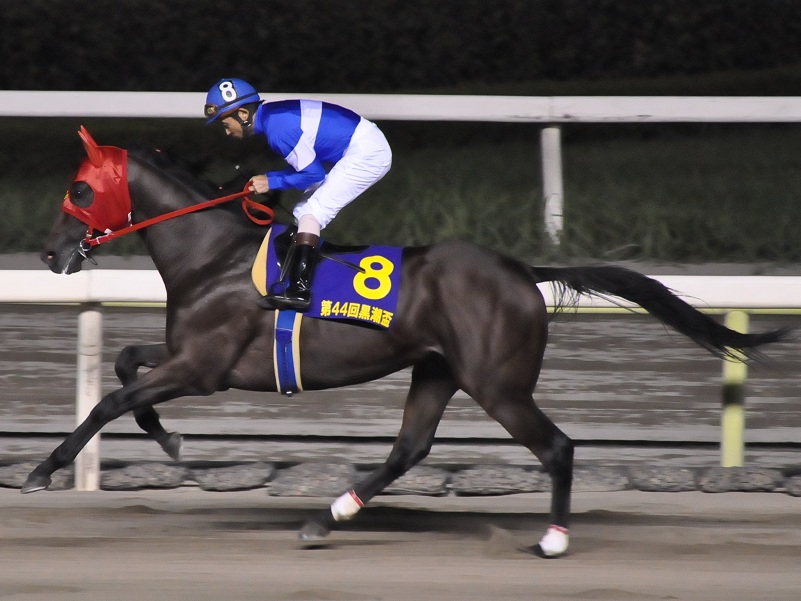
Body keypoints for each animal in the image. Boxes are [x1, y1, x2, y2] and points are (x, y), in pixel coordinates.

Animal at [26, 128, 788, 558]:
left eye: (80, 189)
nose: (50, 253)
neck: (214, 254)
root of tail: (522, 271)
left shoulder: (203, 367)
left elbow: (111, 401)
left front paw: (42, 470)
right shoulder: (190, 358)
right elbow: (125, 368)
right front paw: (168, 437)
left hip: (496, 382)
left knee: (557, 447)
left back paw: (551, 540)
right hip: (436, 371)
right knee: (408, 449)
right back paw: (327, 518)